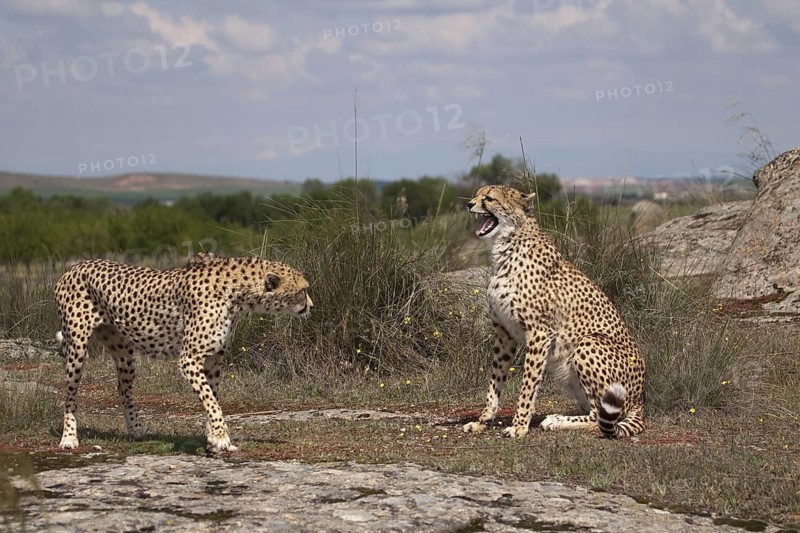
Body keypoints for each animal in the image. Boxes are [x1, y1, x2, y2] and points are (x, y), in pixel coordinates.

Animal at [53, 252, 313, 453]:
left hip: (123, 352)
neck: (236, 293)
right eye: (303, 291)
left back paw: (136, 430)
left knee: (122, 388)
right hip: (77, 347)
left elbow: (212, 398)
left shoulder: (213, 359)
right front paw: (221, 437)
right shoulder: (190, 359)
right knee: (69, 395)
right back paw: (69, 438)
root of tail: (75, 266)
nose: (311, 306)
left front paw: (212, 438)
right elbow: (212, 402)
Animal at [461, 185, 645, 438]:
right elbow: (495, 381)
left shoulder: (539, 333)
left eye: (489, 198)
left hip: (588, 342)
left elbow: (528, 385)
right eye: (477, 194)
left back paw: (555, 420)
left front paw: (519, 426)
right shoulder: (504, 333)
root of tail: (641, 399)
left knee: (599, 417)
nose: (469, 204)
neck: (506, 247)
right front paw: (483, 420)